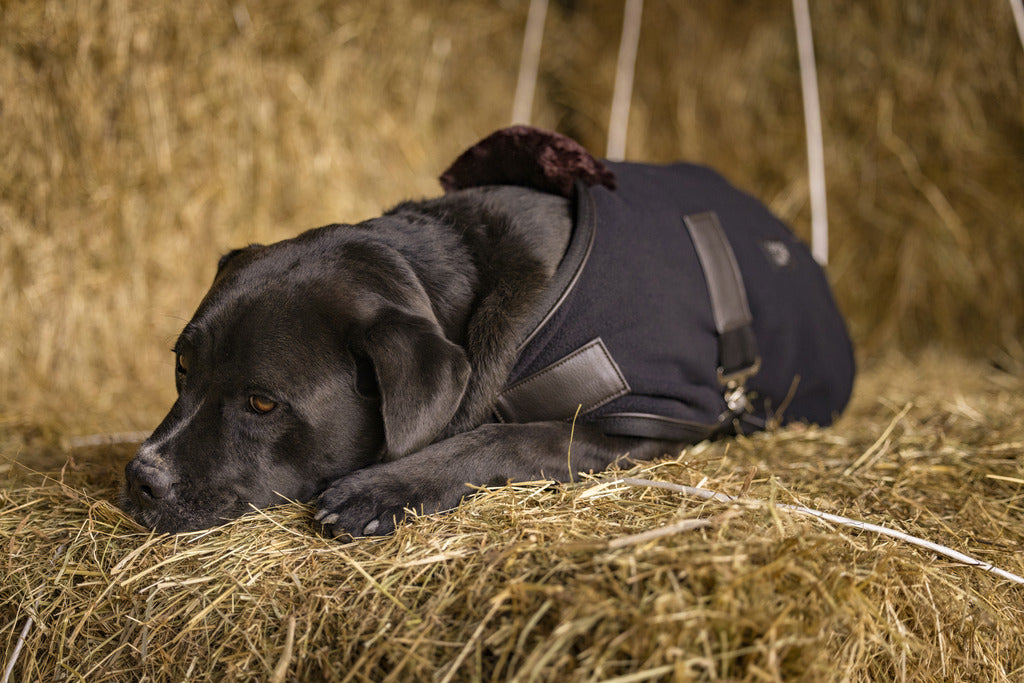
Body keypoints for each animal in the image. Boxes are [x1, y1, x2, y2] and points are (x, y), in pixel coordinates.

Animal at [121, 125, 856, 536]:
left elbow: (510, 436)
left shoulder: (642, 423)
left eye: (263, 403)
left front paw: (383, 489)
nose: (140, 477)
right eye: (181, 368)